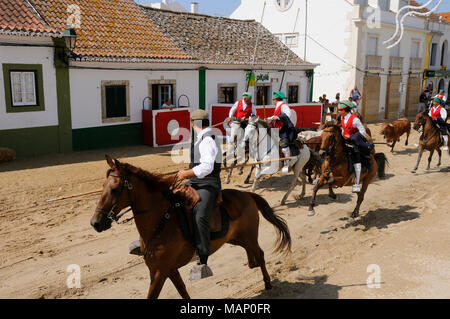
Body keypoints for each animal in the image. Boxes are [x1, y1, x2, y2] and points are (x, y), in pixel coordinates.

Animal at [91, 156, 292, 300]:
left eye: (115, 189)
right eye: (102, 187)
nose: (95, 223)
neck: (162, 221)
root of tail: (248, 195)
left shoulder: (161, 271)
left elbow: (154, 295)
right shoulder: (164, 270)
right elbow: (182, 291)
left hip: (249, 236)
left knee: (260, 254)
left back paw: (267, 283)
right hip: (236, 239)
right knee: (253, 255)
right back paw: (253, 265)